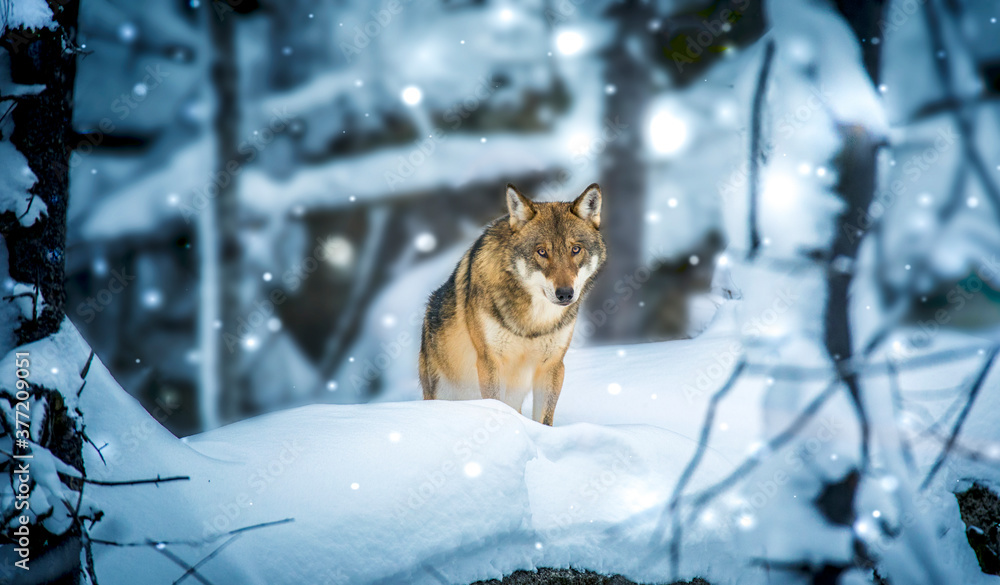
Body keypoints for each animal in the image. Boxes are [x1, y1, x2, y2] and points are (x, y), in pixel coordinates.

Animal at [419, 183, 607, 425]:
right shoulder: (490, 362)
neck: (533, 323)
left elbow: (545, 419)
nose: (565, 294)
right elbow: (494, 404)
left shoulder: (553, 365)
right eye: (542, 251)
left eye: (575, 249)